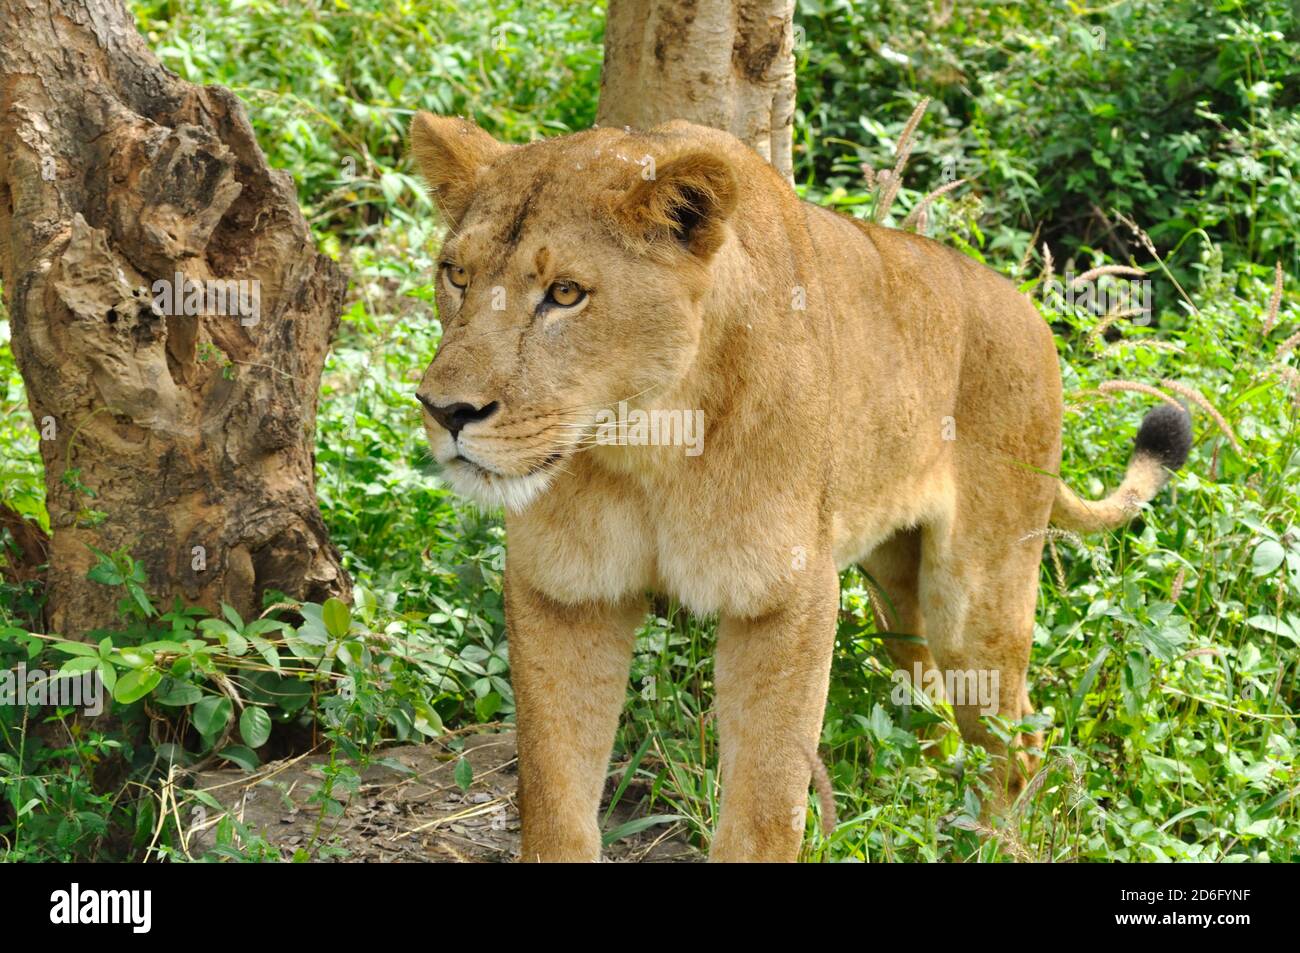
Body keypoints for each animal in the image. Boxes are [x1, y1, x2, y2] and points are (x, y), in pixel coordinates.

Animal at [405, 113, 1190, 863]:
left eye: (565, 293)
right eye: (456, 274)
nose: (445, 411)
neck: (642, 446)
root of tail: (1030, 311)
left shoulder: (785, 598)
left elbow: (765, 807)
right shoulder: (564, 593)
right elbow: (555, 797)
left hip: (977, 592)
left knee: (1016, 737)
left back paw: (993, 841)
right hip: (894, 586)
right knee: (933, 705)